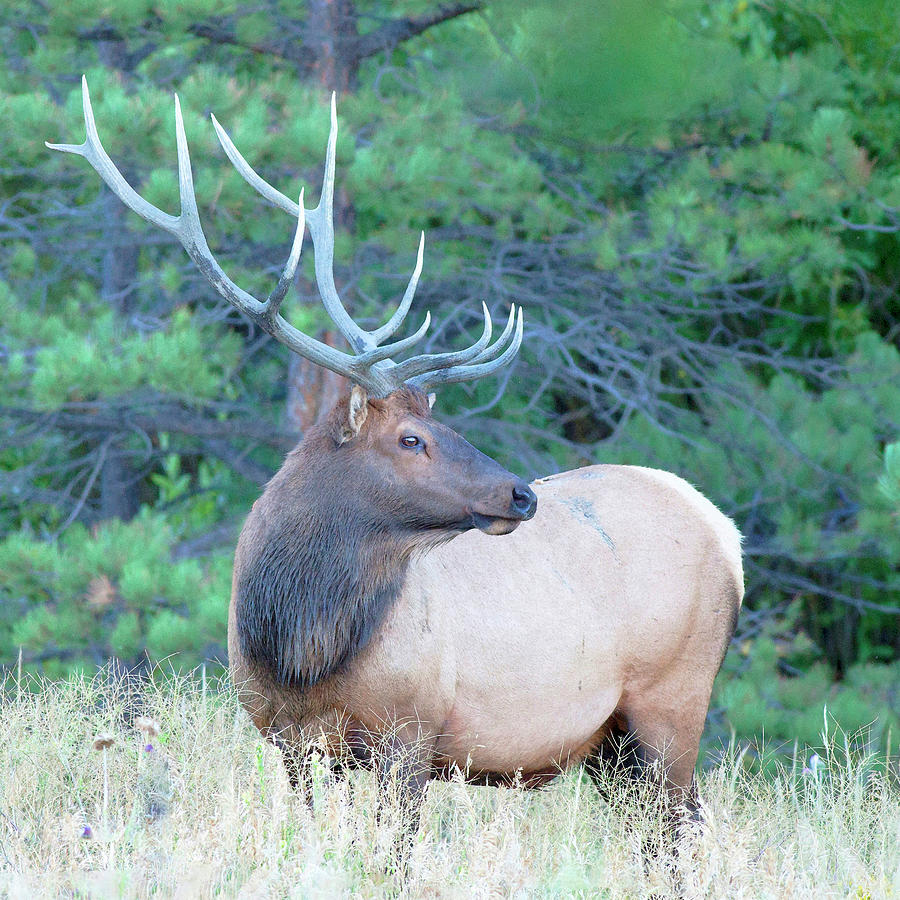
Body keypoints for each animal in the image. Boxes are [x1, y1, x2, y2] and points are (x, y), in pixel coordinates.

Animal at [45, 79, 740, 844]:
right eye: (412, 437)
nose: (521, 494)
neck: (298, 648)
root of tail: (726, 531)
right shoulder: (290, 741)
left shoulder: (411, 731)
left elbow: (394, 850)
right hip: (610, 744)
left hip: (672, 702)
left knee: (686, 828)